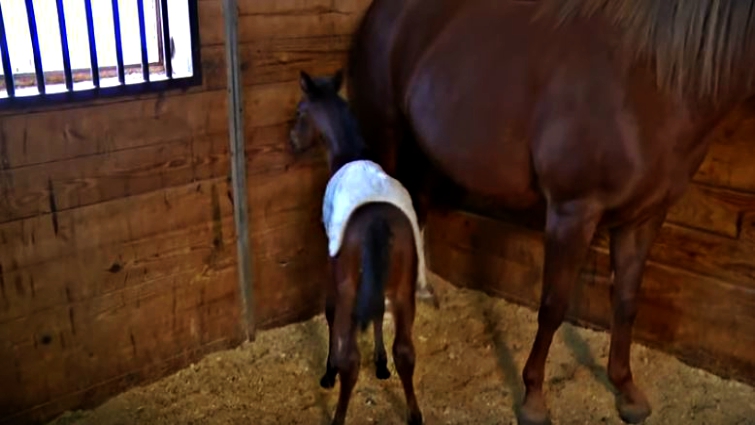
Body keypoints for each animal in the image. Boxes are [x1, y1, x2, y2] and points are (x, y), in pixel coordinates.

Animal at [289, 70, 424, 425]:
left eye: (300, 111)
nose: (292, 141)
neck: (349, 155)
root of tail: (378, 222)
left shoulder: (333, 265)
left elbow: (330, 313)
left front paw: (328, 373)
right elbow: (376, 312)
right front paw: (381, 363)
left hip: (352, 285)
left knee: (351, 359)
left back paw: (337, 414)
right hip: (404, 290)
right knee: (406, 351)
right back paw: (414, 414)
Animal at [344, 0, 755, 424]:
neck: (652, 87)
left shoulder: (644, 218)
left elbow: (626, 302)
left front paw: (626, 389)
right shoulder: (573, 212)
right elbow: (554, 305)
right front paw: (533, 398)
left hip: (427, 149)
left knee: (417, 207)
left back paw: (421, 293)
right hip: (387, 136)